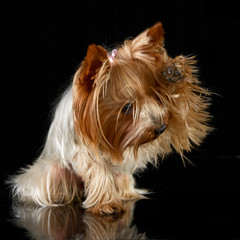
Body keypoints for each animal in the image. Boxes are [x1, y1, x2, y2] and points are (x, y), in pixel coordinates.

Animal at [8, 22, 212, 214]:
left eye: (154, 95)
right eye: (127, 107)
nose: (161, 128)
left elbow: (180, 112)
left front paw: (174, 74)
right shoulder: (87, 150)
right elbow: (100, 172)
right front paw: (107, 204)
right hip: (52, 172)